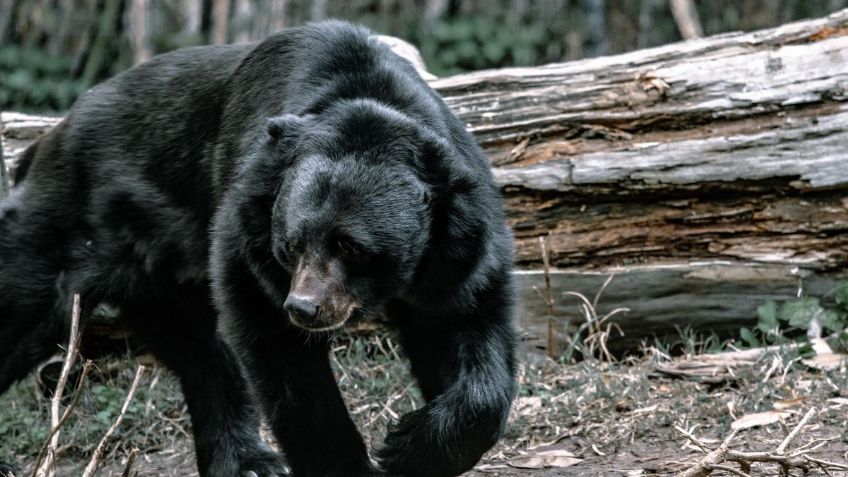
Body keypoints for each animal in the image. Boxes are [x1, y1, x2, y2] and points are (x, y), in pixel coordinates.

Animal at [0, 20, 516, 474]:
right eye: (291, 244)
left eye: (351, 246)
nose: (304, 308)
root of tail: (46, 140)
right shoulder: (248, 233)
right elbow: (282, 358)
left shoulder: (458, 249)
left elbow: (468, 330)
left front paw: (410, 446)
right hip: (66, 227)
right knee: (24, 307)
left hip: (159, 276)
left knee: (202, 354)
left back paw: (247, 462)